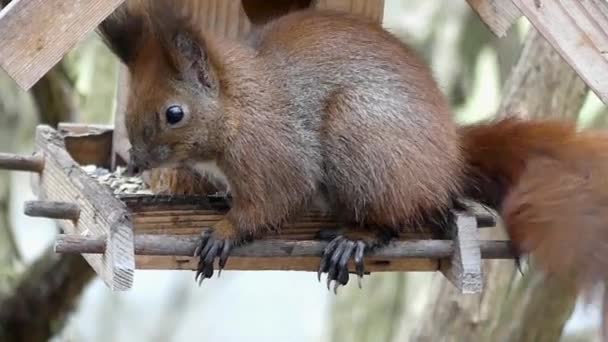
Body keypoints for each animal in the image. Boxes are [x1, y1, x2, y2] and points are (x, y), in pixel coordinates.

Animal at [97, 0, 608, 292]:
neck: (239, 107)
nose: (136, 162)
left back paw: (356, 239)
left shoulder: (274, 151)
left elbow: (276, 198)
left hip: (361, 140)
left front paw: (224, 231)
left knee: (400, 217)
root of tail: (450, 162)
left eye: (174, 114)